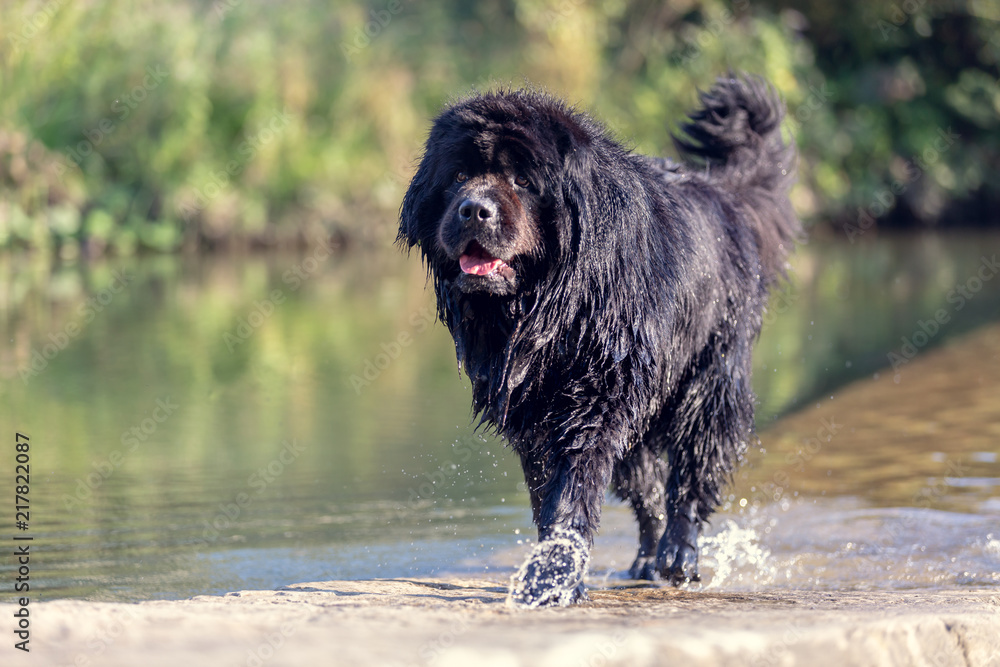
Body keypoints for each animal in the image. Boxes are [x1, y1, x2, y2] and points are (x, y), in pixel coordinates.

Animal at [398, 75, 796, 608]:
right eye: (459, 174)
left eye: (522, 180)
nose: (473, 210)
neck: (554, 307)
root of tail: (723, 195)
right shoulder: (536, 414)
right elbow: (549, 493)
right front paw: (555, 569)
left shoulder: (594, 402)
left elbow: (573, 489)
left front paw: (552, 578)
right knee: (648, 490)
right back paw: (646, 559)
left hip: (710, 379)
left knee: (691, 475)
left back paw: (678, 555)